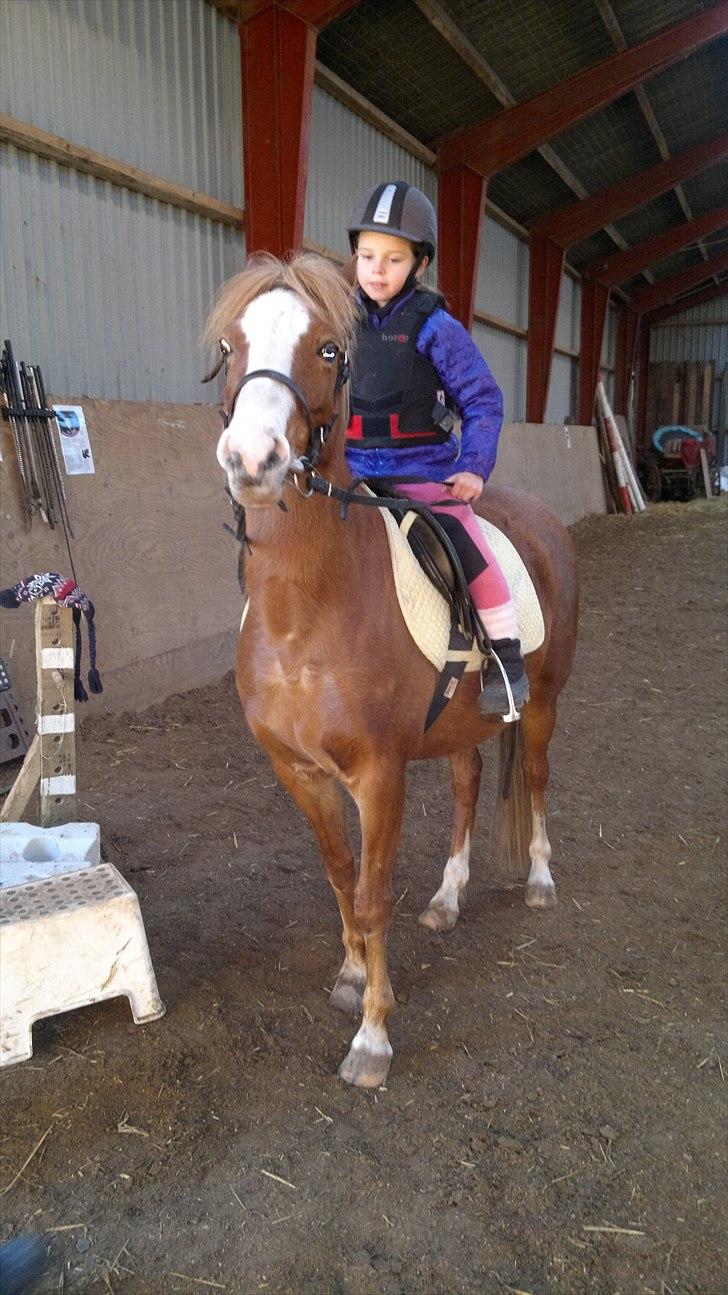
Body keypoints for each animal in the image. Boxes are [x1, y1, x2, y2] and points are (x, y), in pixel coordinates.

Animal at [206, 253, 579, 1088]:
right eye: (231, 344)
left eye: (327, 350)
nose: (253, 460)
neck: (303, 614)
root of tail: (540, 518)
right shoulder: (300, 774)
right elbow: (341, 876)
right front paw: (351, 975)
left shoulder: (379, 775)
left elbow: (374, 893)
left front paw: (373, 1035)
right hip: (462, 724)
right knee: (470, 784)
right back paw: (448, 896)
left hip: (542, 702)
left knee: (537, 777)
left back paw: (540, 881)